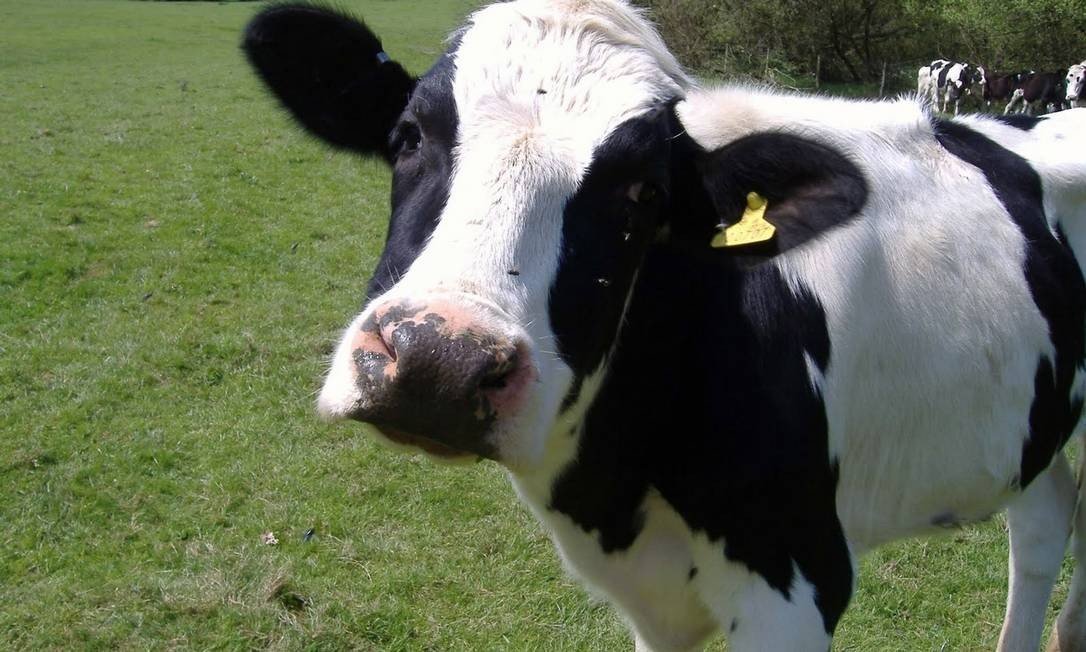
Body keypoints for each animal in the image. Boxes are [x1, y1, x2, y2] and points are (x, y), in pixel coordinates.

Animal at [246, 1, 1086, 652]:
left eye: (643, 193)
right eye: (409, 136)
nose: (438, 363)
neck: (617, 484)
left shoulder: (798, 575)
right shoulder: (650, 601)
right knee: (1044, 523)